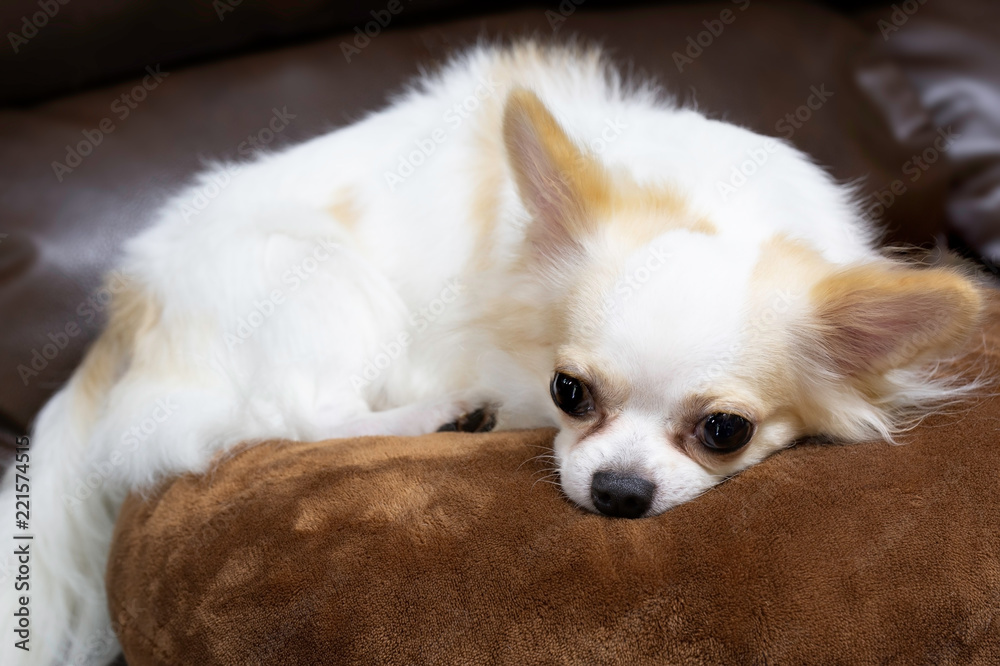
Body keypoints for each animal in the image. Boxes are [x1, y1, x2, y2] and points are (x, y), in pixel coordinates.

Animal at [0, 44, 984, 660]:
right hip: (319, 279)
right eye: (568, 392)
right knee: (305, 414)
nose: (617, 492)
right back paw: (442, 416)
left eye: (725, 432)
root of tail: (131, 300)